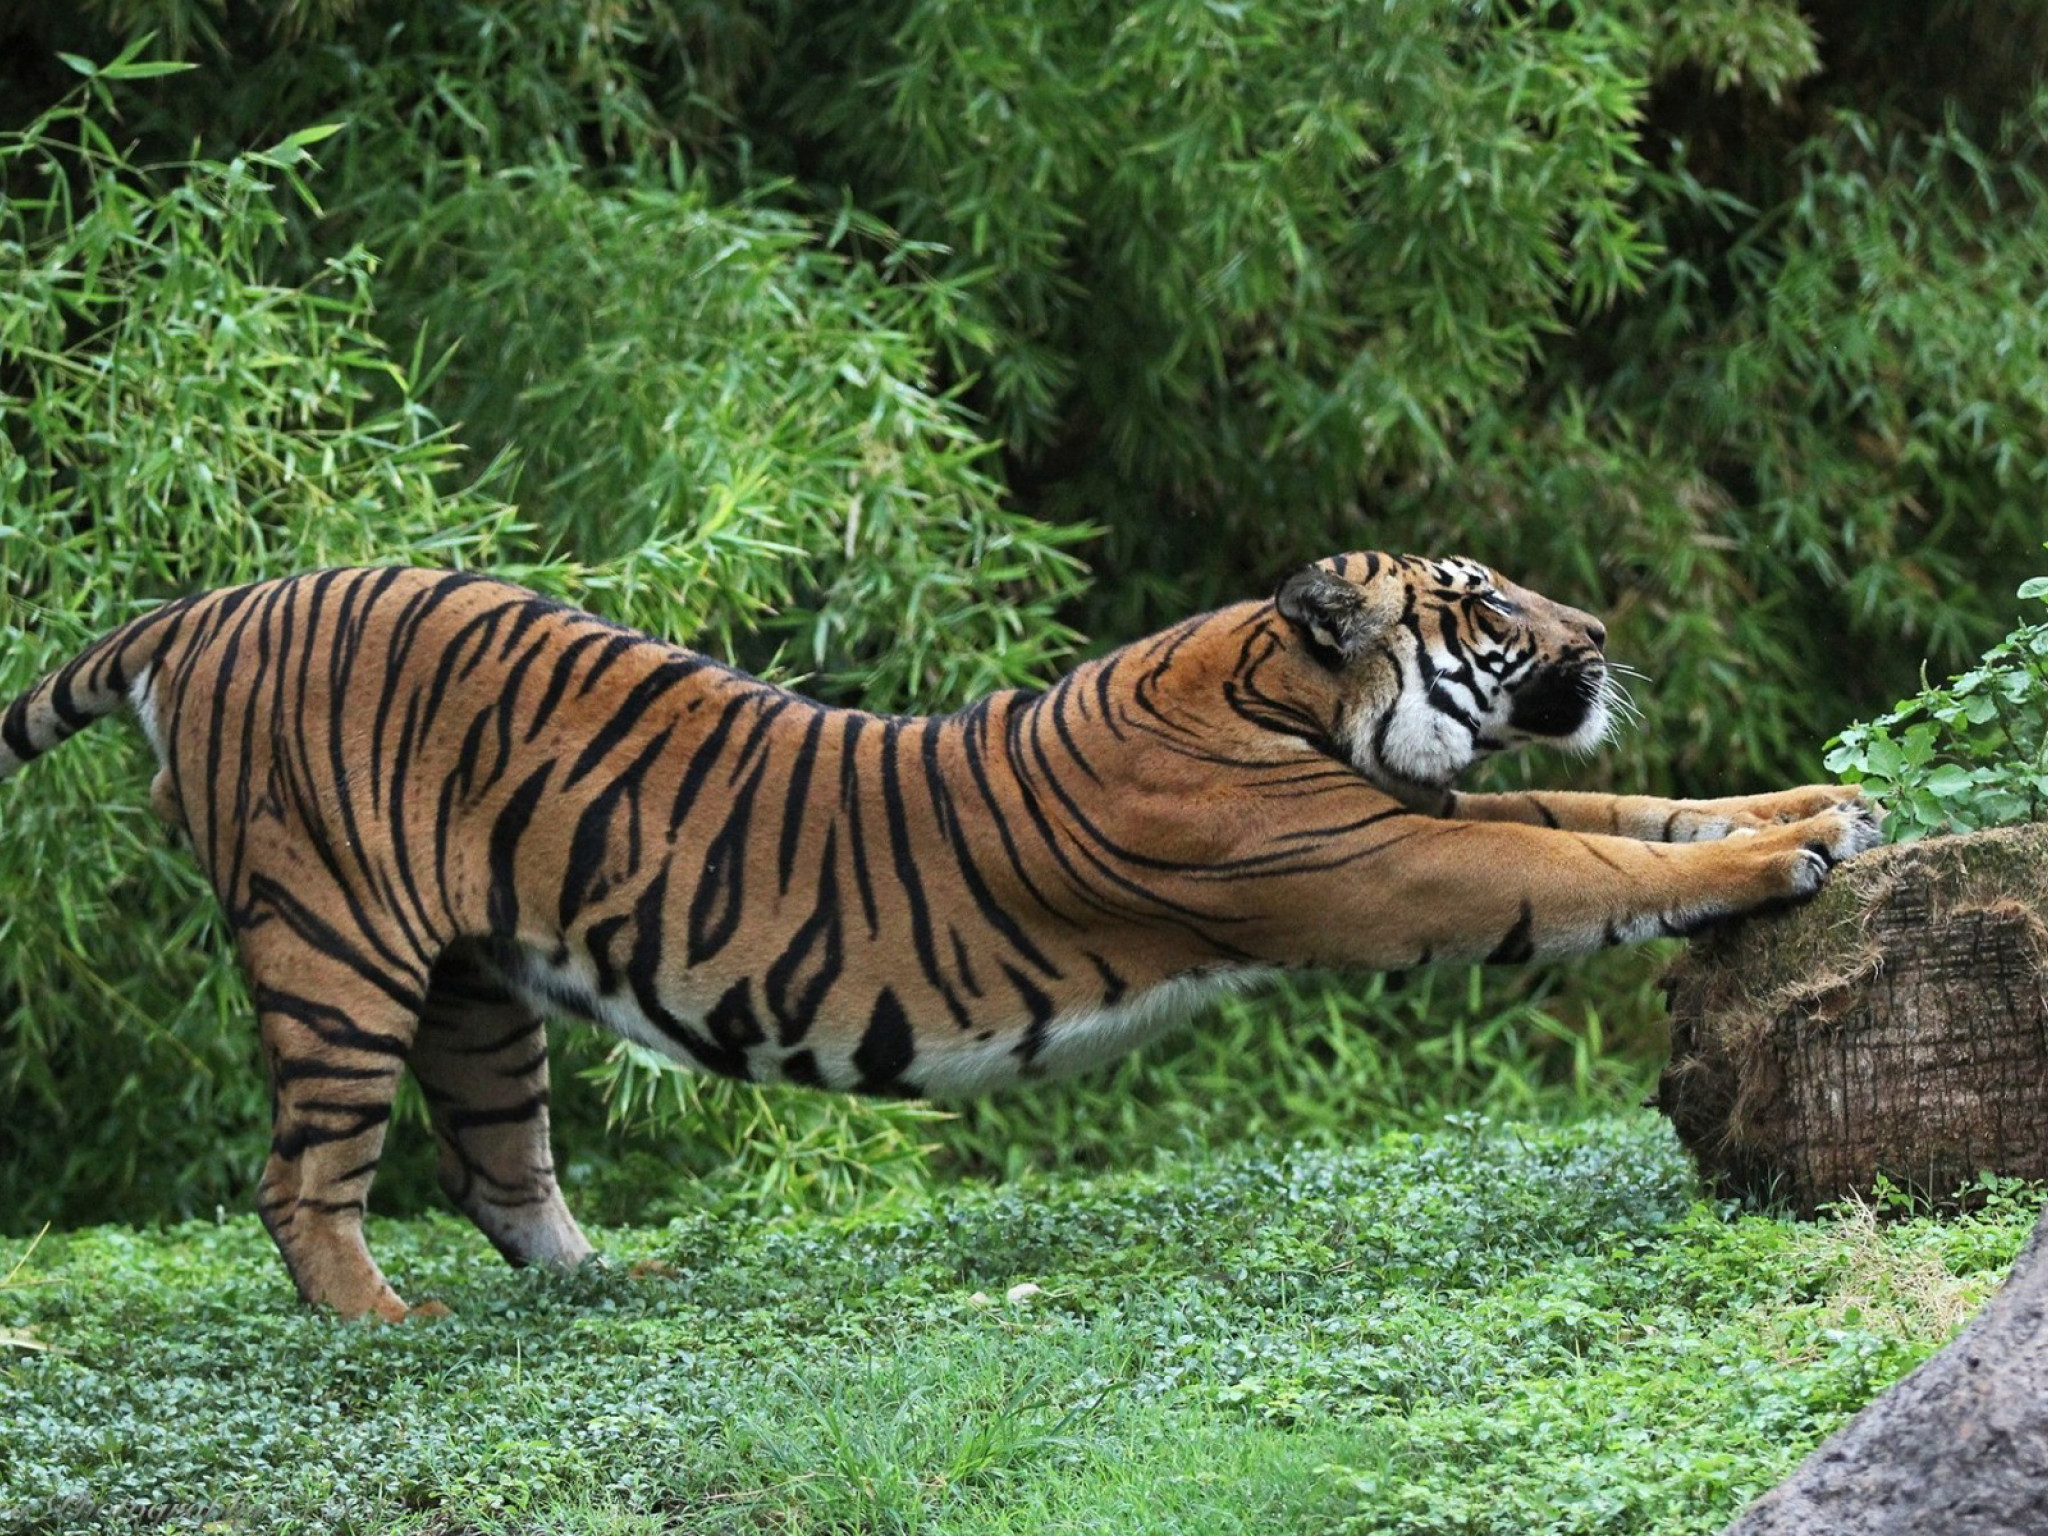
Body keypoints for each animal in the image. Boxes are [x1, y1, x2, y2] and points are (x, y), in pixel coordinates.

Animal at [0, 557, 1875, 1327]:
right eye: (1484, 606)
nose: (1600, 629)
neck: (1282, 696)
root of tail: (206, 604)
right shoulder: (1383, 862)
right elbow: (1571, 863)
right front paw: (1783, 852)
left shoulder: (1409, 817)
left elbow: (1609, 811)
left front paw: (1819, 800)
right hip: (336, 947)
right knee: (301, 1179)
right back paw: (381, 1322)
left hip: (477, 987)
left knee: (495, 1162)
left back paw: (609, 1284)